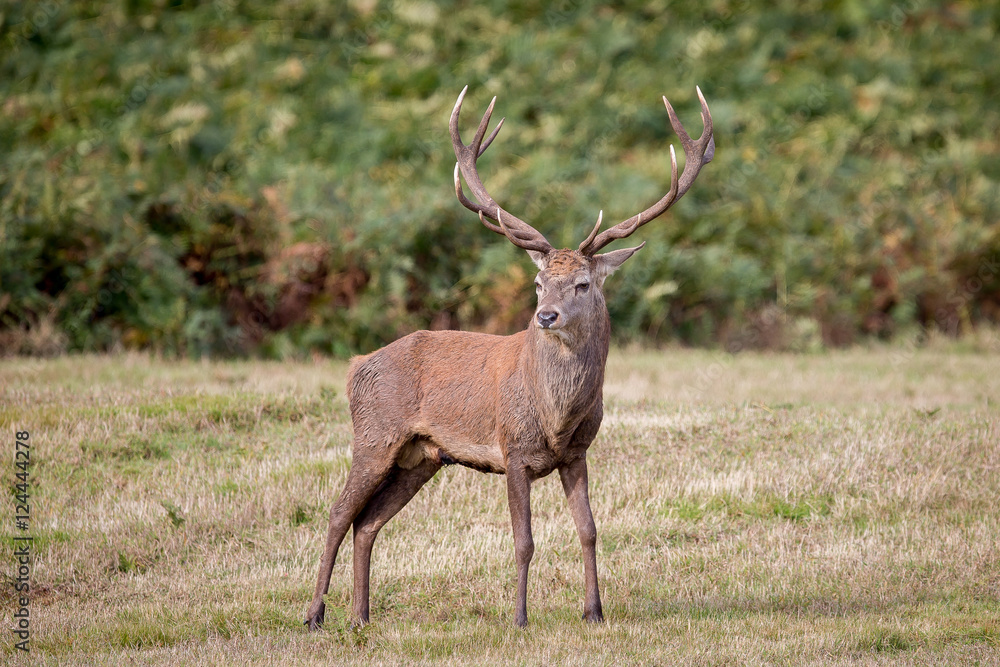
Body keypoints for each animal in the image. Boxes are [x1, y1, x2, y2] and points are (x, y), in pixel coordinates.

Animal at [305, 85, 714, 630]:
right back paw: (314, 614)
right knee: (337, 513)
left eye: (583, 284)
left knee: (367, 523)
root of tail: (355, 367)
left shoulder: (577, 453)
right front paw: (519, 617)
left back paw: (361, 615)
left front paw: (594, 612)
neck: (555, 416)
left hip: (421, 456)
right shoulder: (513, 449)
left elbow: (589, 530)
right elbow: (524, 541)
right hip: (375, 435)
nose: (545, 316)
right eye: (538, 282)